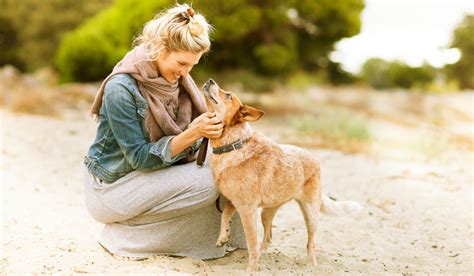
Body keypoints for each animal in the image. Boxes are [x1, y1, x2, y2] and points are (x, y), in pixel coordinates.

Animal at [201, 78, 362, 272]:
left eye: (229, 95)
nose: (210, 80)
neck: (233, 145)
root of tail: (315, 159)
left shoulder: (247, 209)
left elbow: (251, 243)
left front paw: (252, 270)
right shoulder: (234, 201)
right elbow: (224, 215)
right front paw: (223, 237)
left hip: (310, 215)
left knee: (310, 244)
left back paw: (312, 265)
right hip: (267, 211)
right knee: (269, 235)